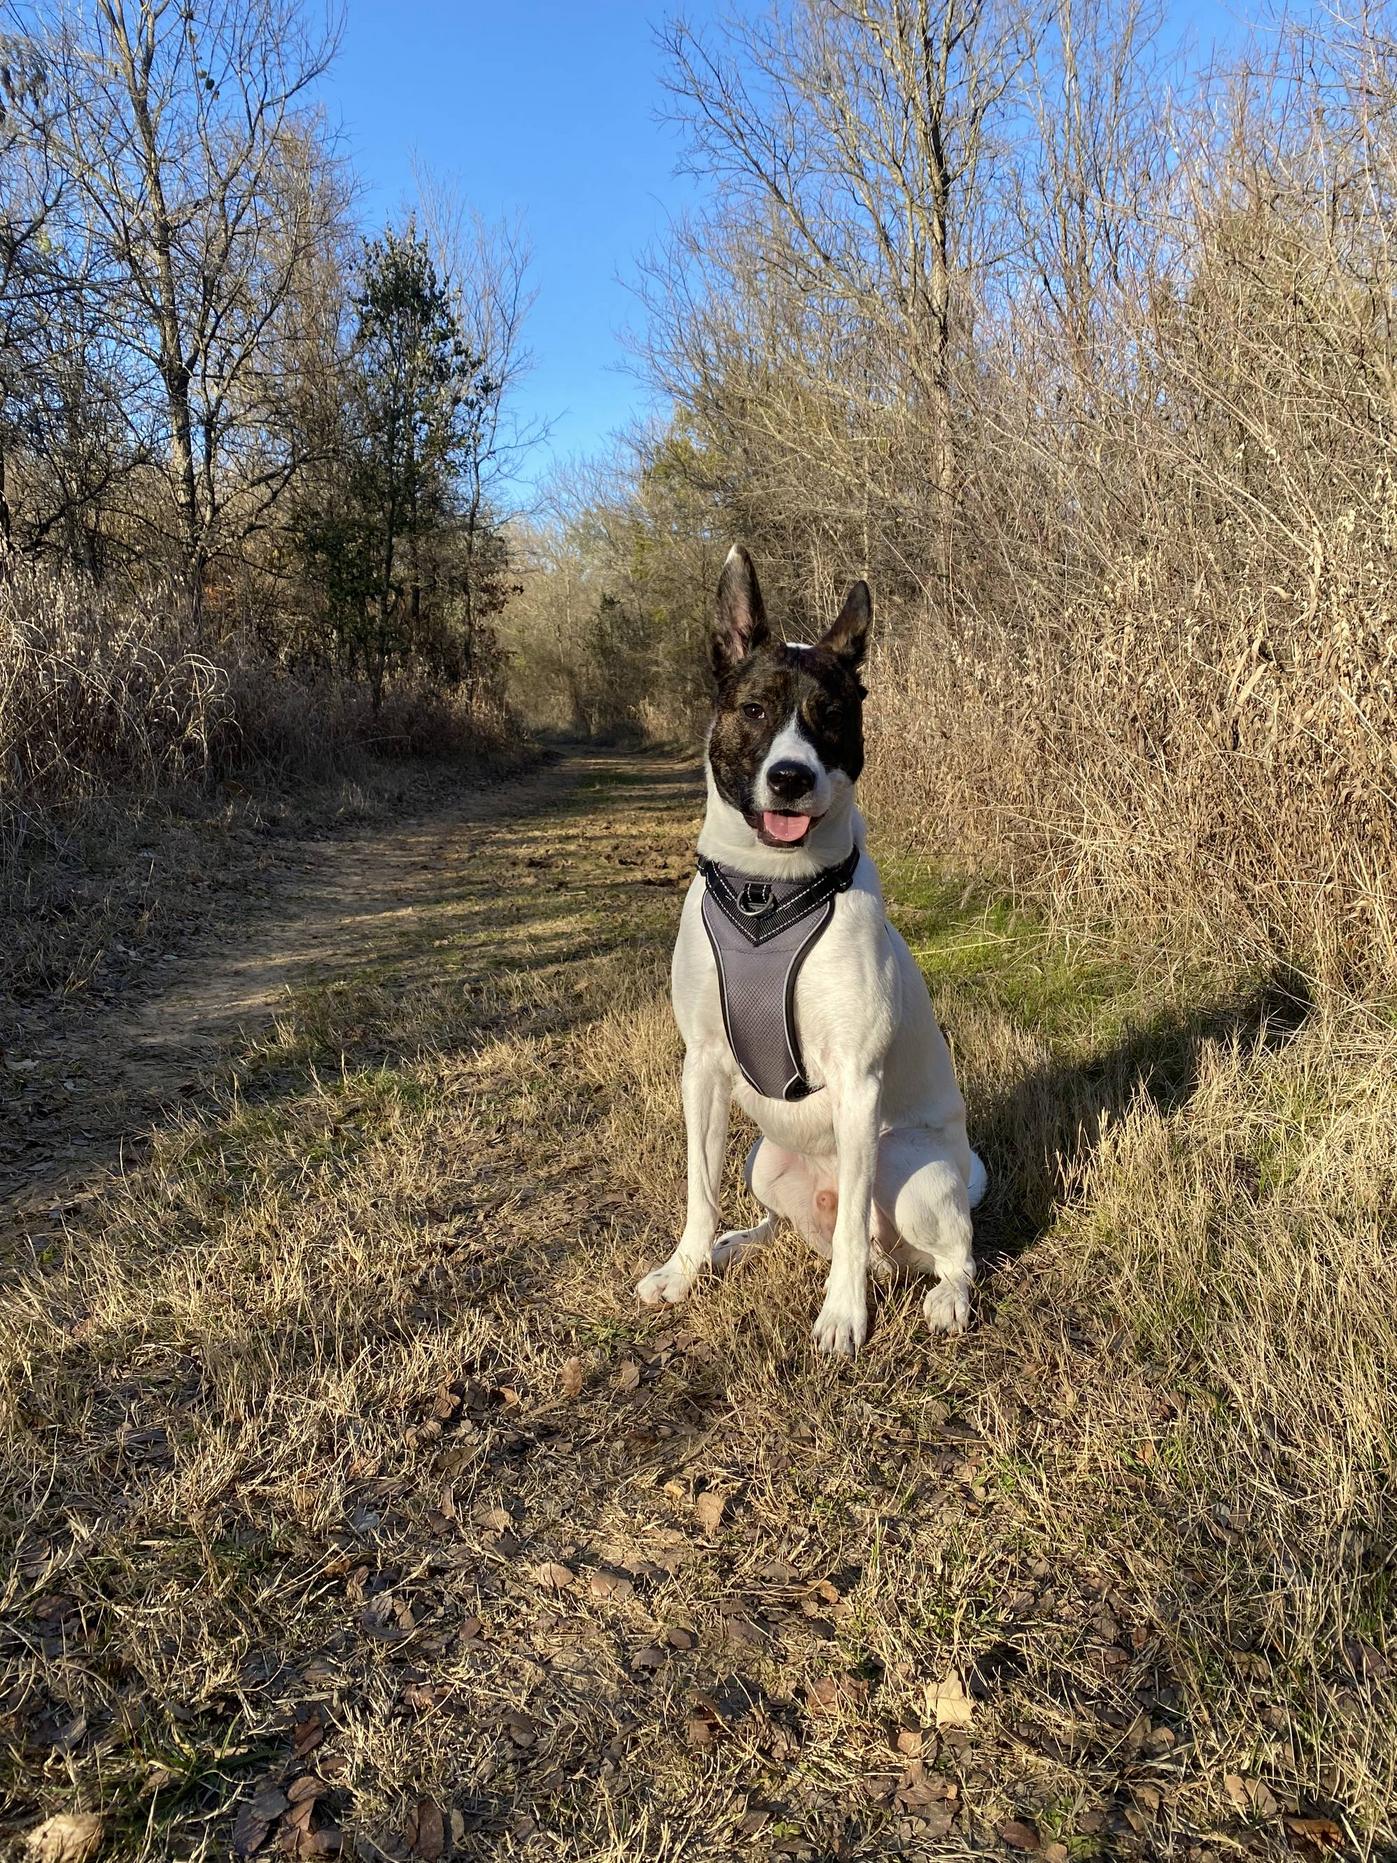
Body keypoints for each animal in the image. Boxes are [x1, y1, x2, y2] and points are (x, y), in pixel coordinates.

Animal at [633, 543, 983, 1356]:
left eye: (832, 717)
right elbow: (697, 1187)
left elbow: (853, 1225)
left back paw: (941, 1295)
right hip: (764, 1158)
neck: (769, 892)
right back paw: (734, 1244)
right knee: (786, 1221)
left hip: (910, 1171)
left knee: (942, 1247)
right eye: (754, 709)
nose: (790, 777)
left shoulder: (856, 1080)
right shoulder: (702, 1067)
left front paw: (842, 1316)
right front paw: (685, 1267)